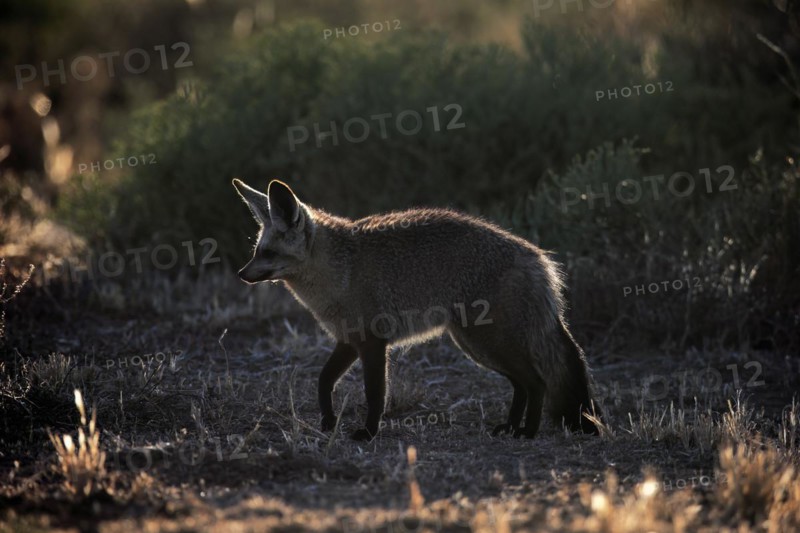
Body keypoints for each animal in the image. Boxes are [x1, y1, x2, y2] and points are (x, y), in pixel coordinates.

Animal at [232, 178, 601, 441]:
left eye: (267, 253)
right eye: (257, 251)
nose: (241, 274)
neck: (340, 270)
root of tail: (539, 258)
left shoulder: (372, 342)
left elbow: (375, 394)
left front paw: (368, 433)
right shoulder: (348, 340)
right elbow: (323, 381)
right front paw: (327, 421)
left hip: (487, 342)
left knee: (537, 382)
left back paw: (528, 432)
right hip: (477, 347)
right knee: (523, 385)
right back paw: (510, 428)